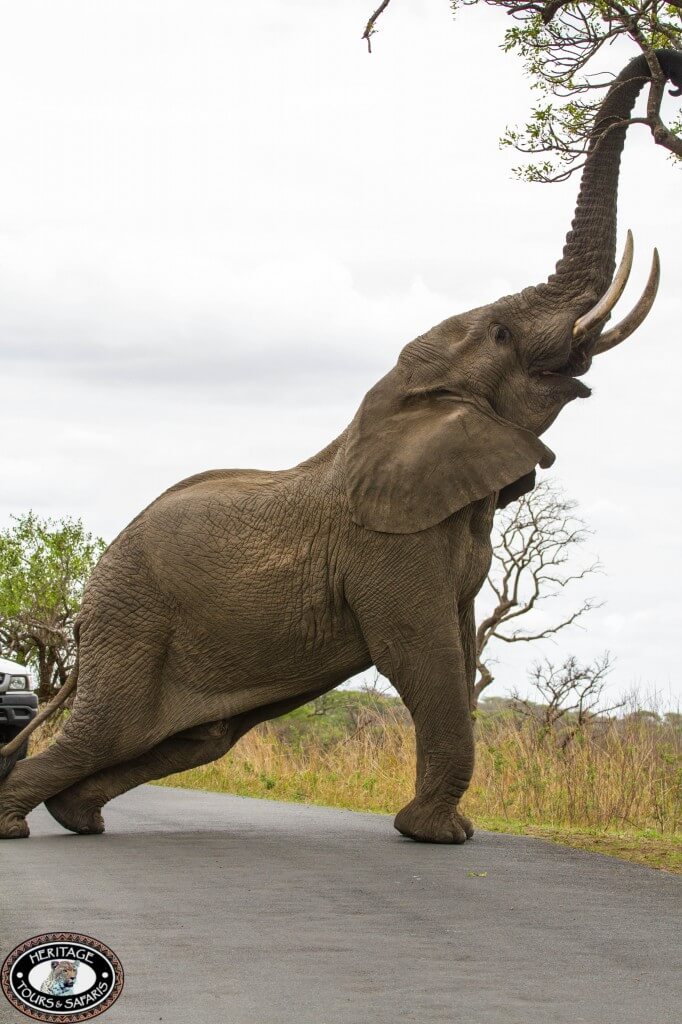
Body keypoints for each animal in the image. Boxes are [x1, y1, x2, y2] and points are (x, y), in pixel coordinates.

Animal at [1, 49, 680, 843]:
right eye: (503, 333)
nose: (666, 64)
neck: (396, 401)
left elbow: (455, 648)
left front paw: (441, 830)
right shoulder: (387, 546)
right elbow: (422, 653)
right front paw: (436, 836)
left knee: (192, 739)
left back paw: (77, 817)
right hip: (132, 616)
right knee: (108, 728)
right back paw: (18, 826)